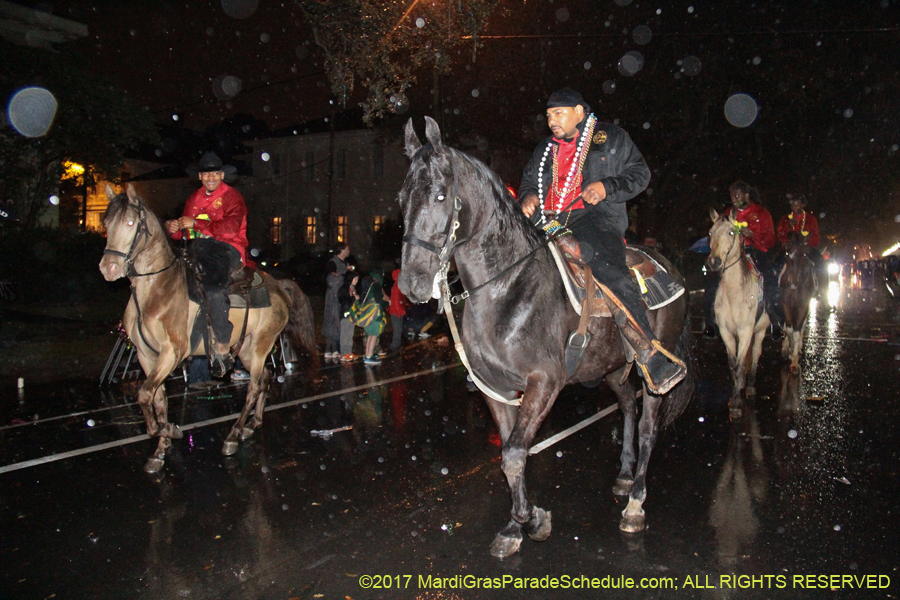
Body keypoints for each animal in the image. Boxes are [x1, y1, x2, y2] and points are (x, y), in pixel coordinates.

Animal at [97, 185, 316, 472]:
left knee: (253, 388)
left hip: (261, 345)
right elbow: (157, 398)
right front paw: (160, 450)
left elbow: (144, 395)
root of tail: (279, 285)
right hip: (246, 349)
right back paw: (252, 424)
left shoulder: (172, 352)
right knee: (265, 378)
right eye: (106, 223)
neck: (157, 290)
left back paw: (233, 435)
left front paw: (169, 431)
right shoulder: (147, 356)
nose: (108, 268)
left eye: (130, 222)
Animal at [396, 118, 696, 556]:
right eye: (402, 198)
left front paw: (533, 521)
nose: (412, 284)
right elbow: (510, 454)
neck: (506, 287)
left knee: (647, 426)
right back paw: (624, 476)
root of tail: (668, 265)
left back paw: (635, 503)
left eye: (440, 194)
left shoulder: (544, 383)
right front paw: (515, 526)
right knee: (626, 405)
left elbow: (514, 454)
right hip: (612, 368)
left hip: (652, 369)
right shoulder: (497, 389)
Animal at [708, 210, 768, 418]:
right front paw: (734, 396)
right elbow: (733, 363)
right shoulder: (726, 332)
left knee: (756, 353)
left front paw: (736, 404)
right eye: (710, 233)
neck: (734, 294)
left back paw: (749, 386)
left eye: (731, 233)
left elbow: (741, 364)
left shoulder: (745, 331)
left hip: (760, 330)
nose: (714, 262)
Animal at [776, 232, 820, 372]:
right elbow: (789, 329)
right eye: (786, 255)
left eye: (802, 256)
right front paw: (789, 351)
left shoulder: (803, 303)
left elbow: (797, 330)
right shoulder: (785, 303)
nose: (792, 284)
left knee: (802, 325)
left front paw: (794, 361)